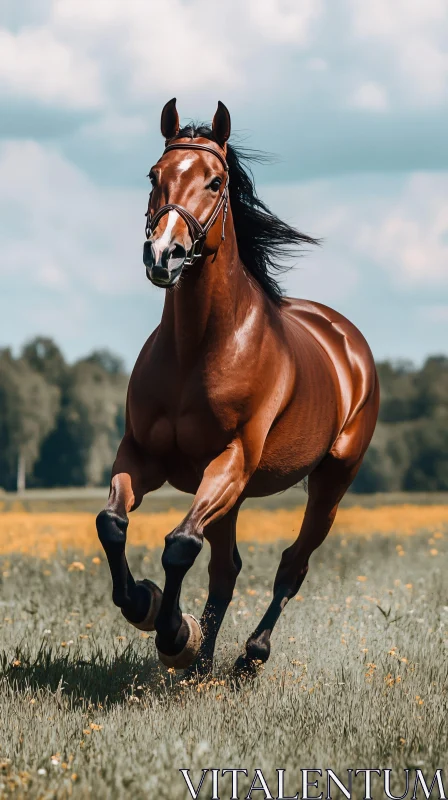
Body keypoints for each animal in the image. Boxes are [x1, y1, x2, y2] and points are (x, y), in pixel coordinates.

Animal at [96, 98, 380, 676]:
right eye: (154, 175)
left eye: (215, 180)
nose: (164, 255)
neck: (198, 348)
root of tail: (345, 338)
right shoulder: (141, 455)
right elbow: (112, 523)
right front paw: (145, 605)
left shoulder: (230, 459)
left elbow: (181, 544)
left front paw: (172, 634)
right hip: (237, 493)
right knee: (226, 569)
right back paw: (203, 665)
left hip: (330, 480)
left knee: (293, 565)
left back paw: (250, 655)